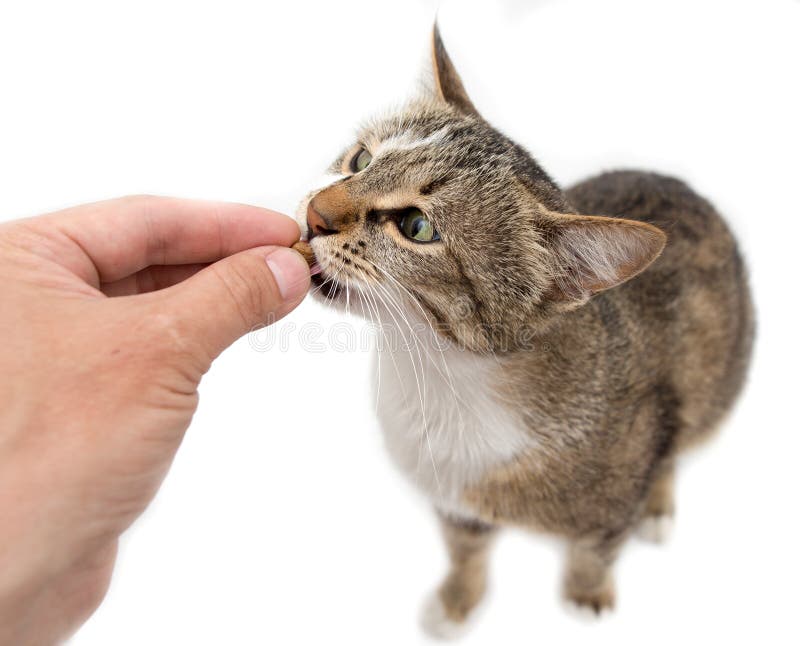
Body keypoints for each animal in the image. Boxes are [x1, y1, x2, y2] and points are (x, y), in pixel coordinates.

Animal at [294, 24, 752, 636]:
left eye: (417, 227)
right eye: (361, 158)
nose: (314, 213)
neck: (442, 378)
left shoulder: (617, 488)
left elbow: (596, 548)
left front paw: (586, 592)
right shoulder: (455, 504)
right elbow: (465, 551)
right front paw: (457, 601)